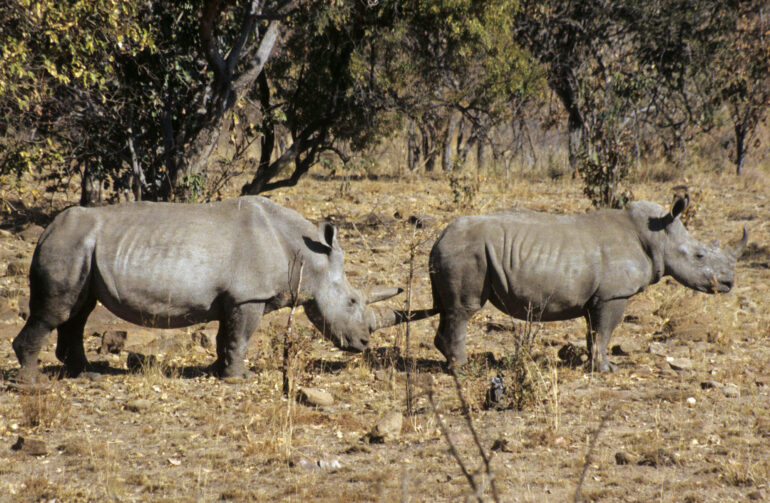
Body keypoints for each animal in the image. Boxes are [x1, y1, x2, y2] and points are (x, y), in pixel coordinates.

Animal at [13, 196, 420, 382]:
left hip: (81, 248)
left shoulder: (233, 298)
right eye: (351, 301)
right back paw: (35, 385)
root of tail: (45, 230)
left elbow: (227, 335)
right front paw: (241, 379)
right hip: (68, 244)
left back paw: (87, 374)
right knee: (58, 311)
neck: (308, 254)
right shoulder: (248, 296)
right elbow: (241, 336)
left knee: (77, 311)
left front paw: (218, 370)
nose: (364, 344)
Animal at [429, 195, 747, 371]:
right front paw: (606, 369)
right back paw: (463, 369)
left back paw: (449, 363)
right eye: (699, 255)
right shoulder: (614, 295)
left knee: (447, 309)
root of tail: (439, 237)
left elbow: (593, 333)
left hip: (457, 251)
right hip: (467, 253)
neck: (658, 236)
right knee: (464, 310)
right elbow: (605, 332)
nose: (728, 283)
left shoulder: (597, 297)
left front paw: (597, 364)